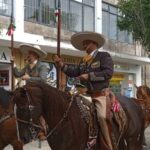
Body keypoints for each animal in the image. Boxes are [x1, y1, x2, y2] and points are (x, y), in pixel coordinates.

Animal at [12, 82, 144, 150]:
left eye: (23, 107)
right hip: (121, 139)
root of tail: (134, 102)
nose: (22, 138)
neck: (65, 121)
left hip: (132, 139)